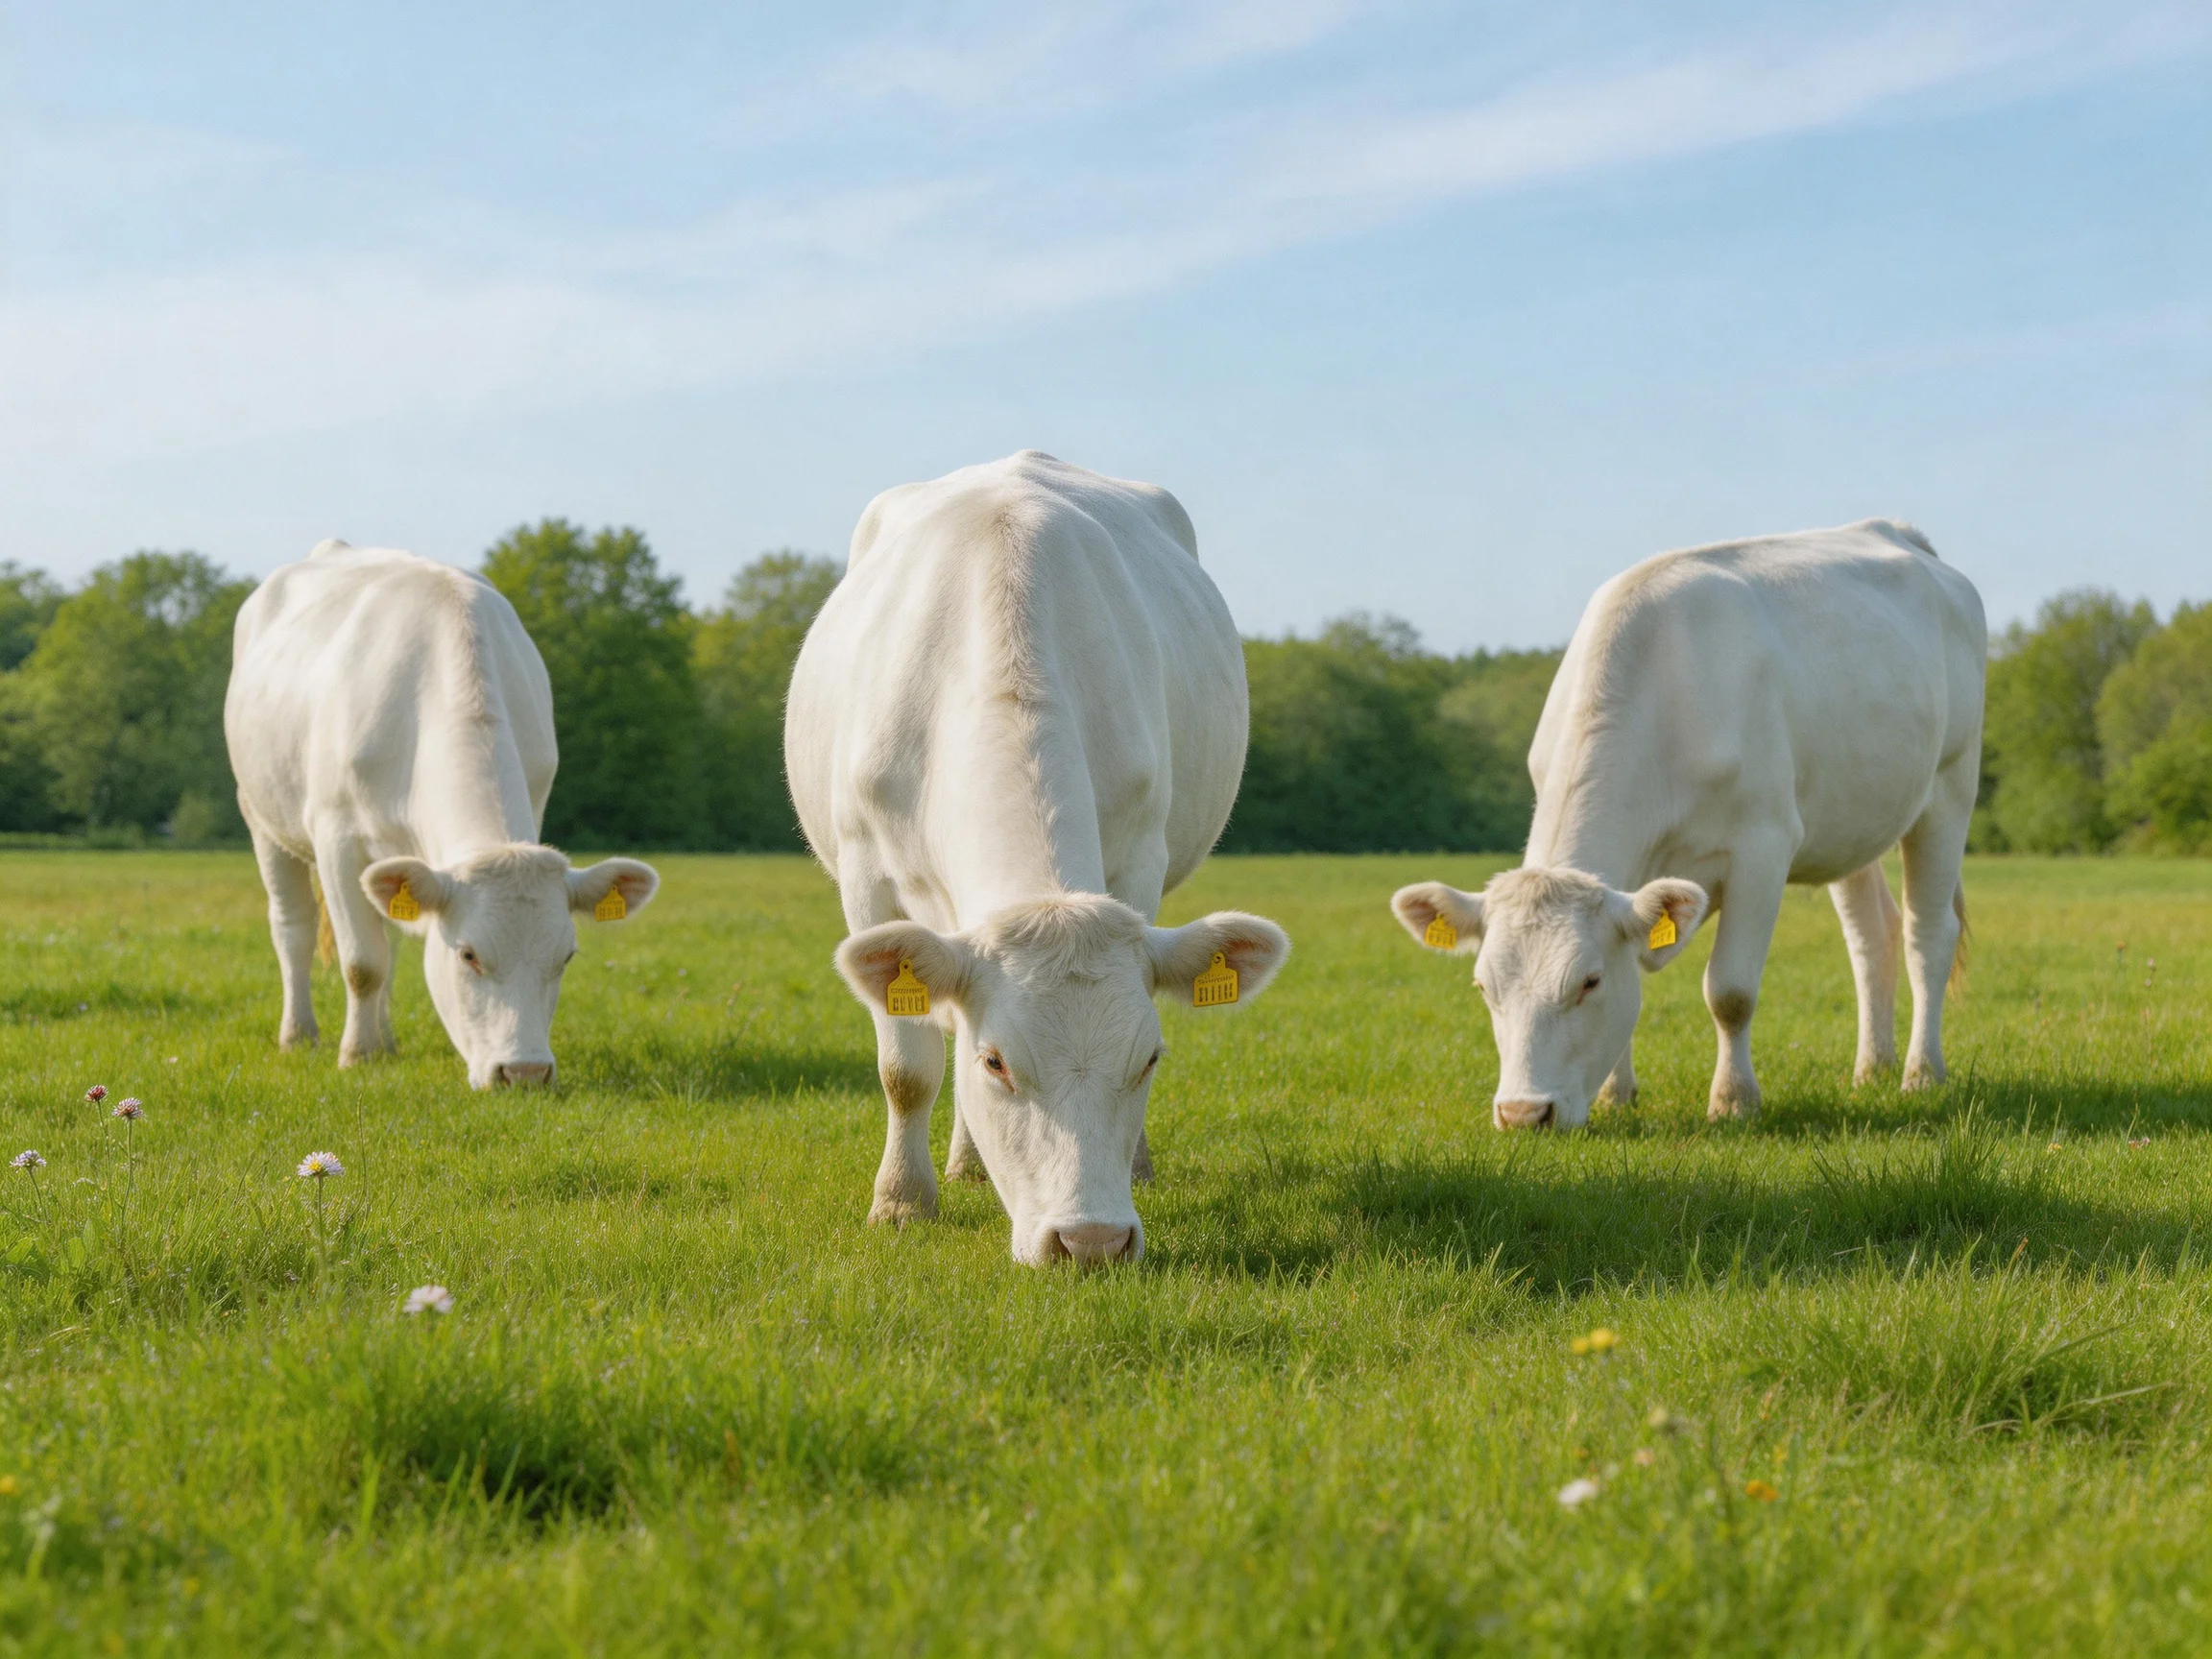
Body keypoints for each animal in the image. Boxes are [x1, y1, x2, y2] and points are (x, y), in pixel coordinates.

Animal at [225, 540, 658, 1088]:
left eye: (566, 955)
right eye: (469, 955)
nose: (525, 1072)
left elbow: (380, 953)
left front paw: (373, 1047)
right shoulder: (336, 836)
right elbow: (362, 962)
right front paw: (356, 1055)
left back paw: (386, 1041)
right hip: (261, 815)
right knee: (293, 930)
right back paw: (299, 1035)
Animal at [787, 451, 1290, 1266]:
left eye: (1150, 1059)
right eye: (997, 1062)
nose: (1091, 1242)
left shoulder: (1138, 866)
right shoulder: (867, 880)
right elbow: (907, 1069)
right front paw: (901, 1202)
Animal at [1391, 519, 1984, 1128]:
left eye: (1588, 981)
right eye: (1483, 987)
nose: (1523, 1113)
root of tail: (1896, 531)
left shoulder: (1763, 846)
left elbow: (1731, 991)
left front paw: (1734, 1100)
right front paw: (1616, 1093)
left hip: (1951, 785)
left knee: (1928, 935)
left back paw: (1921, 1073)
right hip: (1850, 817)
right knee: (1871, 934)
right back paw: (1872, 1068)